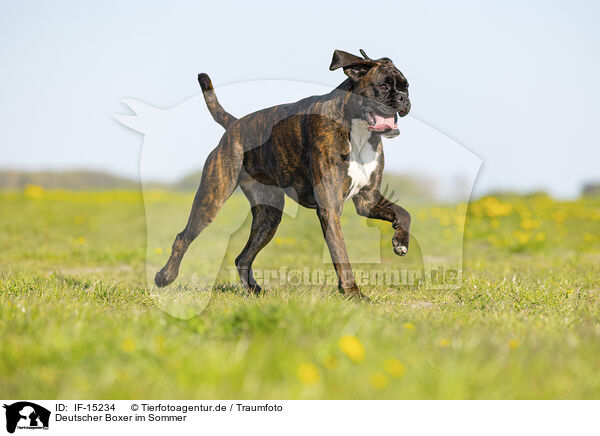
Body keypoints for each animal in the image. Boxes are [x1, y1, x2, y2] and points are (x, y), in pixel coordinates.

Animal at [156, 48, 412, 300]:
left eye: (406, 86)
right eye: (383, 86)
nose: (402, 98)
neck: (357, 129)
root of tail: (235, 124)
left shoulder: (367, 200)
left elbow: (404, 213)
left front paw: (400, 242)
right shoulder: (330, 206)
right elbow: (340, 253)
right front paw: (353, 294)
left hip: (268, 215)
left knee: (242, 258)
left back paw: (255, 292)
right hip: (212, 198)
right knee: (183, 238)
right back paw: (164, 277)